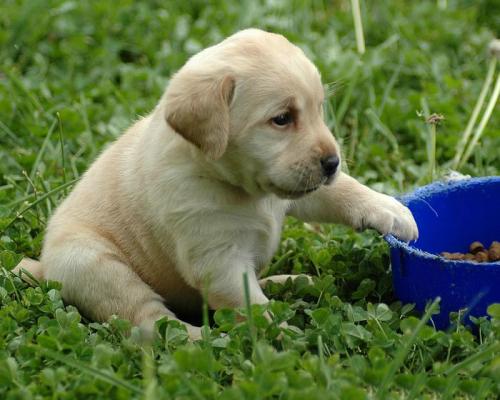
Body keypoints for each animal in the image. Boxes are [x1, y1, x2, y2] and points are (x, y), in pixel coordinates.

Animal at [14, 28, 418, 340]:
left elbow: (342, 190)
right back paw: (195, 339)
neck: (242, 188)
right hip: (93, 263)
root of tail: (44, 267)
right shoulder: (217, 258)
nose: (332, 162)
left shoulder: (297, 190)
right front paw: (281, 335)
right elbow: (250, 306)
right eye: (282, 119)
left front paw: (391, 210)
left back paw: (289, 280)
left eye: (319, 109)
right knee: (148, 321)